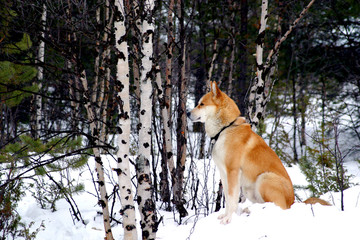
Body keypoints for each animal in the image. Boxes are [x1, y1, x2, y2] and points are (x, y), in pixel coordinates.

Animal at [187, 81, 294, 224]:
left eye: (202, 104)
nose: (187, 113)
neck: (225, 129)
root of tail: (292, 201)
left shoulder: (233, 171)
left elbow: (232, 199)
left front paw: (228, 219)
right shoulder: (224, 173)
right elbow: (228, 199)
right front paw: (225, 216)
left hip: (264, 178)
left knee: (278, 207)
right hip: (249, 189)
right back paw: (248, 210)